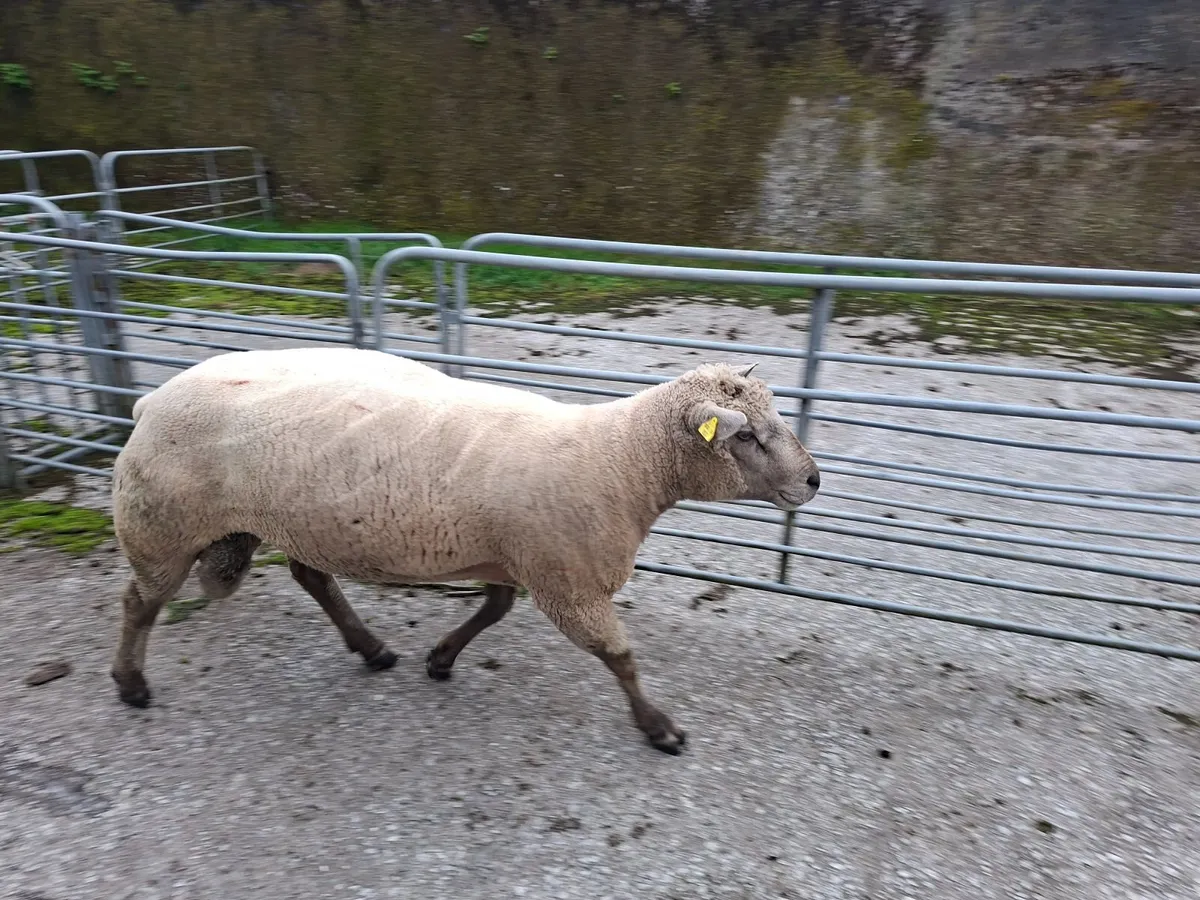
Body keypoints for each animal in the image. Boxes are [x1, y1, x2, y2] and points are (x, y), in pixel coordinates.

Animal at [110, 347, 821, 754]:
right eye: (746, 436)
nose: (814, 480)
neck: (620, 461)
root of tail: (148, 401)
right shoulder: (569, 580)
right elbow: (619, 658)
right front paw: (658, 727)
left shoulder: (517, 556)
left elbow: (495, 609)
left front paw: (442, 657)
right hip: (159, 525)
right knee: (138, 603)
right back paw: (131, 683)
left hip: (297, 519)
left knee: (314, 580)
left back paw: (370, 648)